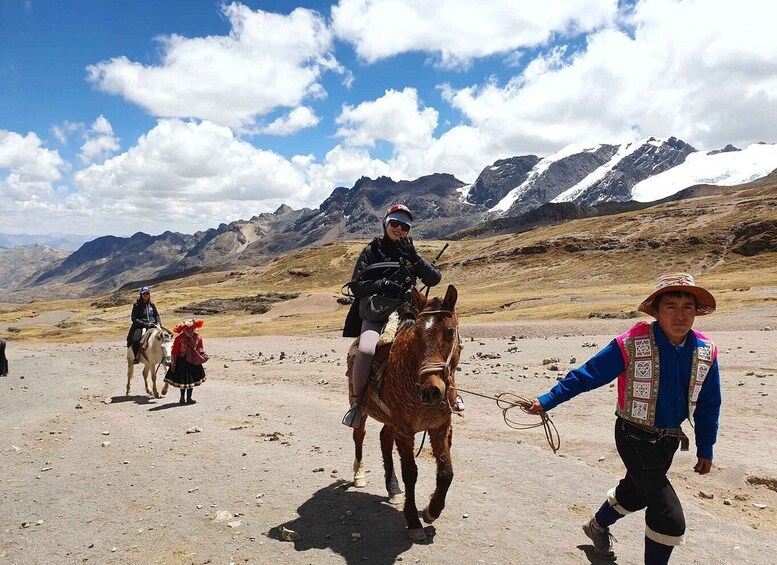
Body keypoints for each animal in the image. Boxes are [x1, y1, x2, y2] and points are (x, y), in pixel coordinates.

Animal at [348, 284, 460, 540]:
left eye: (450, 332)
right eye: (416, 334)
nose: (430, 390)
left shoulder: (440, 427)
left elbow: (446, 472)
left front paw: (431, 510)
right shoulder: (405, 431)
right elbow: (411, 473)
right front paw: (413, 522)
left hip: (391, 421)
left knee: (384, 439)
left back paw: (393, 489)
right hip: (363, 409)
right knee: (359, 437)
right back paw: (359, 475)